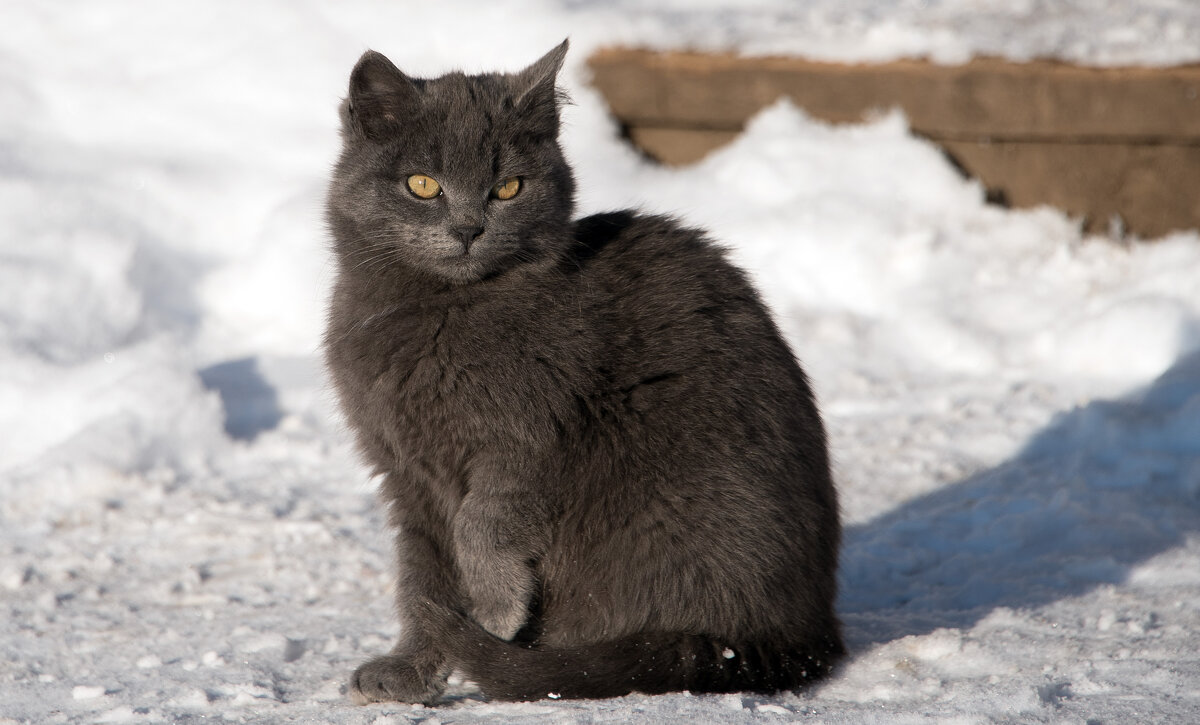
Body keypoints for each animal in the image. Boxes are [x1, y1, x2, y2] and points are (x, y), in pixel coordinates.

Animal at [324, 38, 840, 700]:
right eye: (422, 184)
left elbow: (482, 524)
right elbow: (421, 572)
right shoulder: (404, 469)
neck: (434, 311)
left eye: (509, 188)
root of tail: (798, 639)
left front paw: (491, 612)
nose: (468, 229)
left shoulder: (532, 435)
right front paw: (413, 667)